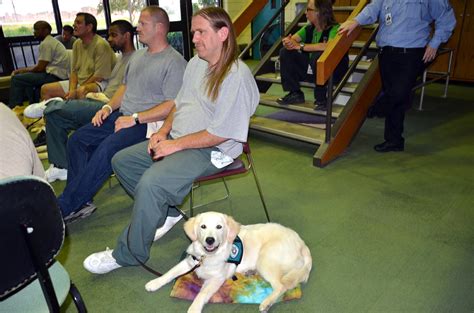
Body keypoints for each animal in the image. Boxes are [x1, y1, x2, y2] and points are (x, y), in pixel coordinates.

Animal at [146, 211, 312, 310]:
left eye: (219, 227)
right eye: (203, 226)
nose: (210, 240)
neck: (208, 257)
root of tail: (302, 244)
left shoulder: (216, 279)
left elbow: (201, 294)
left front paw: (193, 309)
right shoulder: (191, 261)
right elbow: (170, 273)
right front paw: (154, 283)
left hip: (265, 259)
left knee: (281, 286)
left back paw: (266, 302)